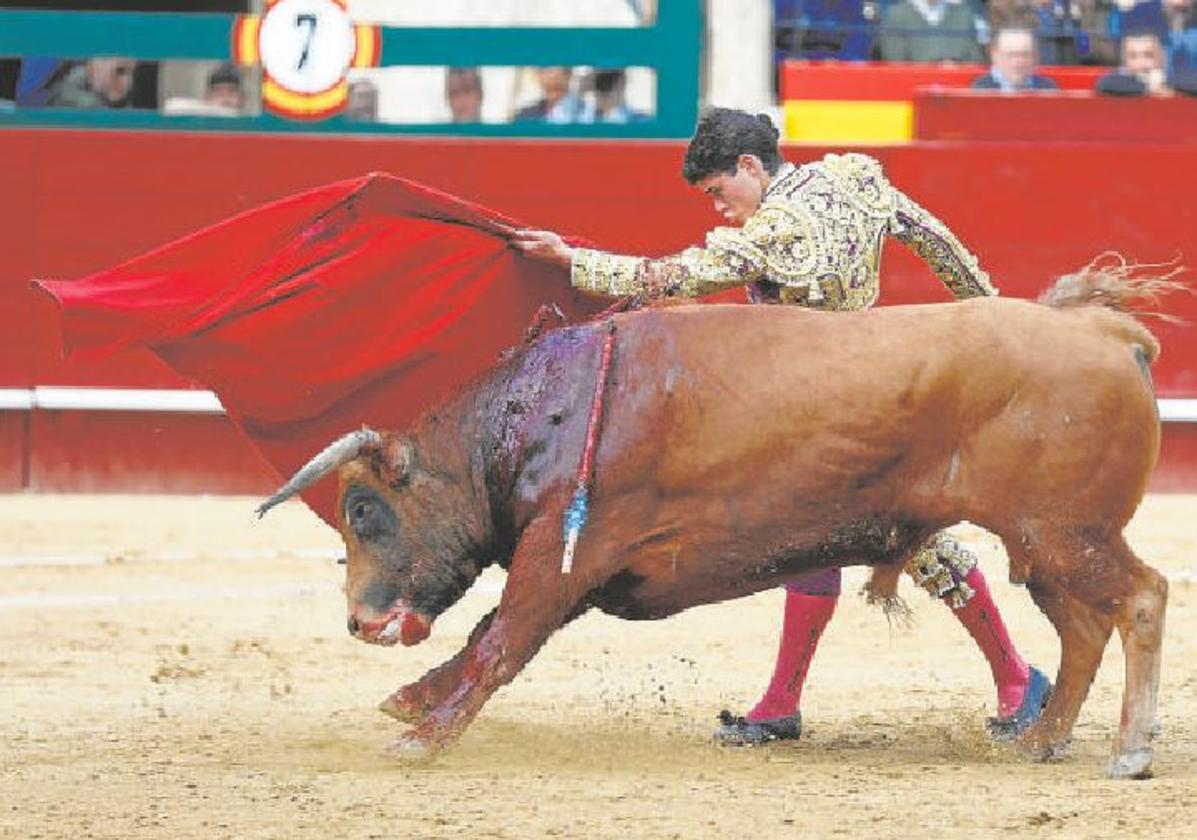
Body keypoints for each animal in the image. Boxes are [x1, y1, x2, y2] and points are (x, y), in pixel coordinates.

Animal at [259, 266, 1168, 780]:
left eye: (363, 511)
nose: (359, 621)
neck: (547, 411)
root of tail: (1099, 330)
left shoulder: (563, 554)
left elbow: (501, 639)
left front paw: (422, 739)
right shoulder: (578, 566)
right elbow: (491, 633)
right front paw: (413, 701)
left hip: (1064, 535)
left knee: (1141, 599)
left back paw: (1128, 751)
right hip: (1045, 544)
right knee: (1081, 629)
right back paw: (1037, 740)